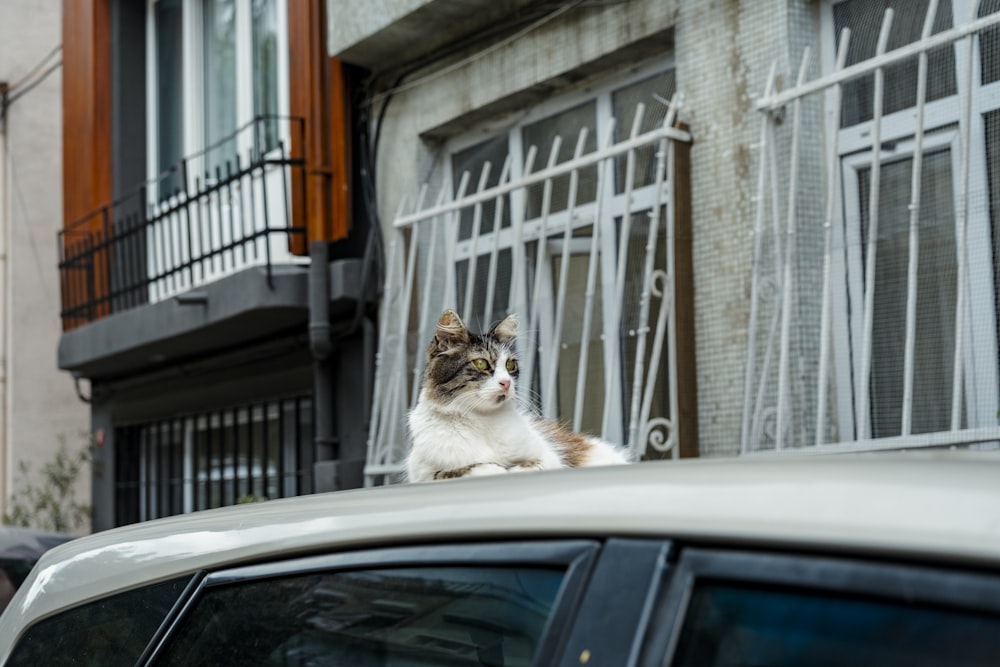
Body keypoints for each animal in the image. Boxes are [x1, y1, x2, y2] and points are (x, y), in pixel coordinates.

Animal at [404, 310, 624, 482]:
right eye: (481, 363)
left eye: (510, 365)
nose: (507, 383)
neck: (481, 420)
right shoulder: (422, 473)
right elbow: (463, 469)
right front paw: (495, 468)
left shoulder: (548, 457)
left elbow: (529, 465)